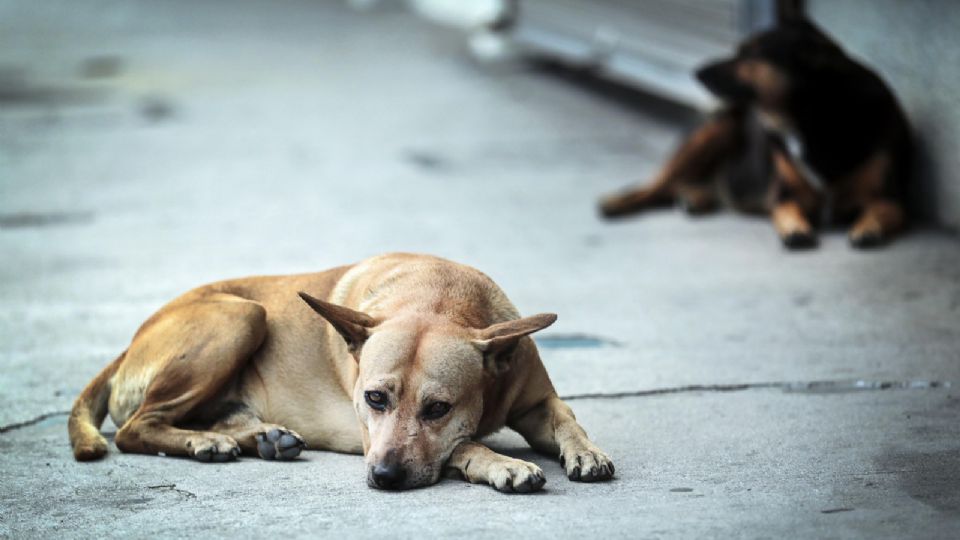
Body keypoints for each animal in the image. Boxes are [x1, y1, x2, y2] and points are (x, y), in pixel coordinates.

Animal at [67, 253, 612, 494]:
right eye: (374, 399)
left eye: (438, 408)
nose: (385, 477)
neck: (439, 298)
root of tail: (130, 343)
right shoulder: (372, 435)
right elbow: (465, 445)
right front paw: (500, 461)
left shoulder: (537, 401)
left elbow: (567, 419)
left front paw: (586, 452)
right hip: (242, 316)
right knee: (135, 428)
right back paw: (206, 442)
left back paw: (260, 438)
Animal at [600, 17, 908, 250]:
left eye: (751, 54)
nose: (696, 71)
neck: (812, 120)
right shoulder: (784, 196)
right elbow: (786, 210)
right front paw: (796, 229)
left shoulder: (892, 198)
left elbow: (881, 209)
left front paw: (868, 227)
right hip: (713, 133)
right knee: (655, 185)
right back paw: (615, 202)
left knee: (679, 187)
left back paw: (694, 198)